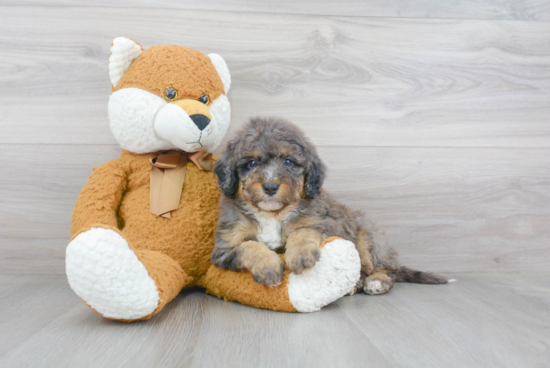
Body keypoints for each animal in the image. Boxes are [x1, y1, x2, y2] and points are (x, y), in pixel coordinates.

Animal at [211, 116, 448, 294]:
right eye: (251, 163)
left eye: (288, 161)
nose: (270, 186)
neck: (273, 214)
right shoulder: (224, 247)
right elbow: (249, 246)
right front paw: (268, 266)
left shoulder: (325, 222)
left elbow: (304, 230)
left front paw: (299, 254)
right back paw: (356, 284)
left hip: (369, 237)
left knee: (386, 268)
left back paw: (375, 282)